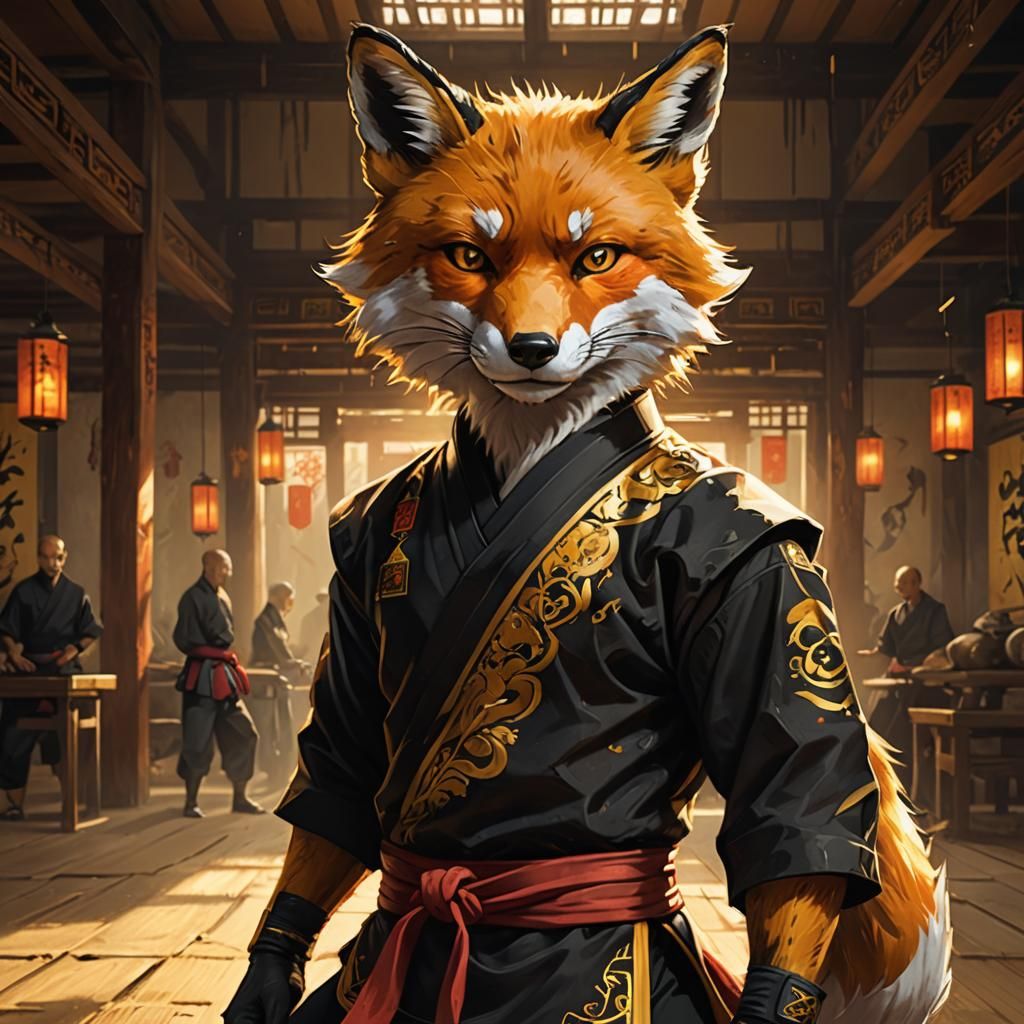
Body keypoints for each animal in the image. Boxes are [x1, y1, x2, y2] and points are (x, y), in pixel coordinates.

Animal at [318, 22, 952, 1024]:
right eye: (472, 258)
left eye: (595, 259)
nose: (533, 349)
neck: (529, 456)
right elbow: (335, 780)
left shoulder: (766, 574)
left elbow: (795, 800)